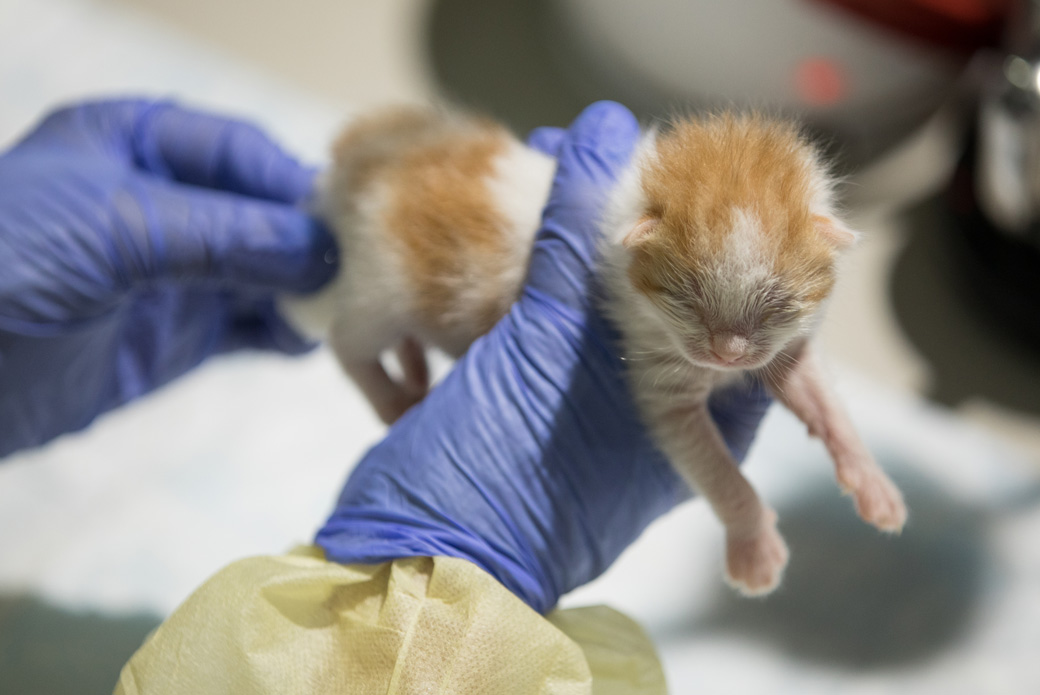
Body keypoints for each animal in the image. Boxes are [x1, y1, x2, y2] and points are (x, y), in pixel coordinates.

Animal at [282, 107, 902, 599]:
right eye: (687, 298)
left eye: (776, 303)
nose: (726, 355)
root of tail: (374, 151)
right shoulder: (658, 378)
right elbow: (717, 471)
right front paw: (755, 548)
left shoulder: (786, 347)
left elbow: (824, 401)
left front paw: (872, 484)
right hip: (377, 284)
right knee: (346, 340)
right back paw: (390, 397)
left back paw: (413, 377)